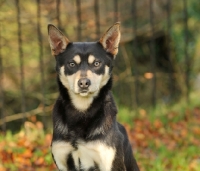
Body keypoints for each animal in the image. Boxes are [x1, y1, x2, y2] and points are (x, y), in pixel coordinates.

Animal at [47, 22, 140, 171]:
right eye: (72, 64)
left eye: (97, 63)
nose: (84, 83)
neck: (81, 111)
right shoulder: (62, 159)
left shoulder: (109, 161)